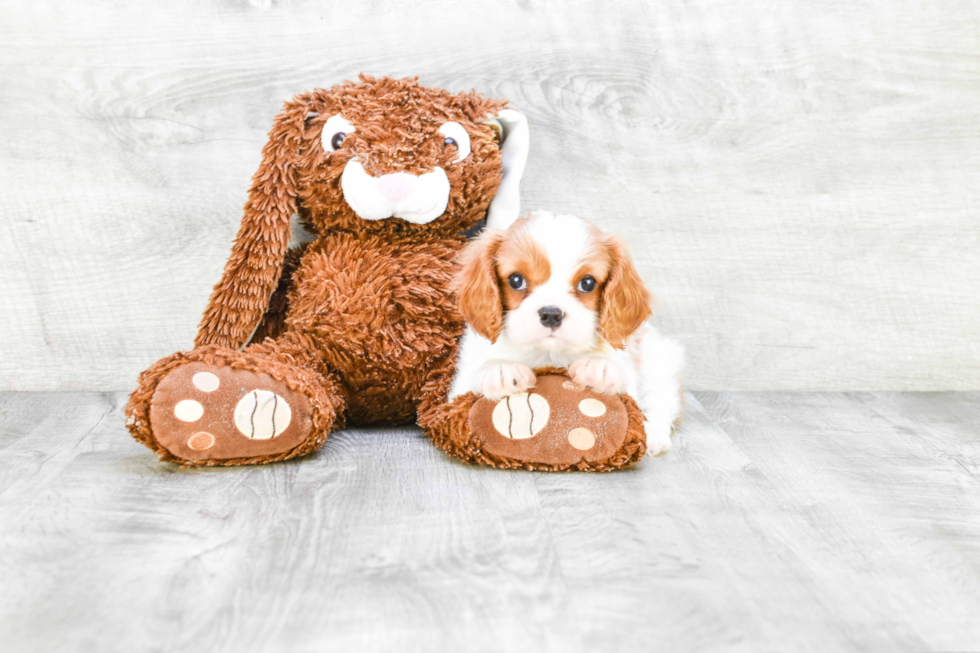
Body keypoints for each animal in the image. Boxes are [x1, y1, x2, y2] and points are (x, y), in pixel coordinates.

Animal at [450, 210, 684, 454]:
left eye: (587, 283)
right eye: (516, 280)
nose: (551, 314)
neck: (549, 354)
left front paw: (599, 366)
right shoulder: (457, 390)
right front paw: (500, 369)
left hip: (660, 359)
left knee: (661, 400)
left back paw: (653, 436)